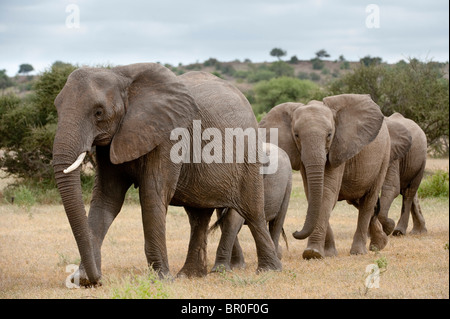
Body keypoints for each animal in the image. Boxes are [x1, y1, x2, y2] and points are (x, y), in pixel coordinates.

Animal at [52, 63, 282, 288]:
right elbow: (107, 200)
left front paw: (161, 279)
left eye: (98, 112)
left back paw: (269, 270)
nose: (98, 279)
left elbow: (152, 195)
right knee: (198, 218)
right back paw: (190, 275)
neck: (121, 76)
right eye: (57, 108)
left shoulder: (168, 136)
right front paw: (82, 279)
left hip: (249, 155)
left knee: (253, 212)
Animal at [260, 94, 412, 260]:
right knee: (362, 202)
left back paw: (359, 251)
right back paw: (379, 244)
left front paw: (312, 253)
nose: (295, 231)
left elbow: (327, 193)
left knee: (368, 201)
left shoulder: (339, 146)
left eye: (329, 135)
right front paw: (327, 253)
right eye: (296, 135)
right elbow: (314, 195)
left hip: (385, 155)